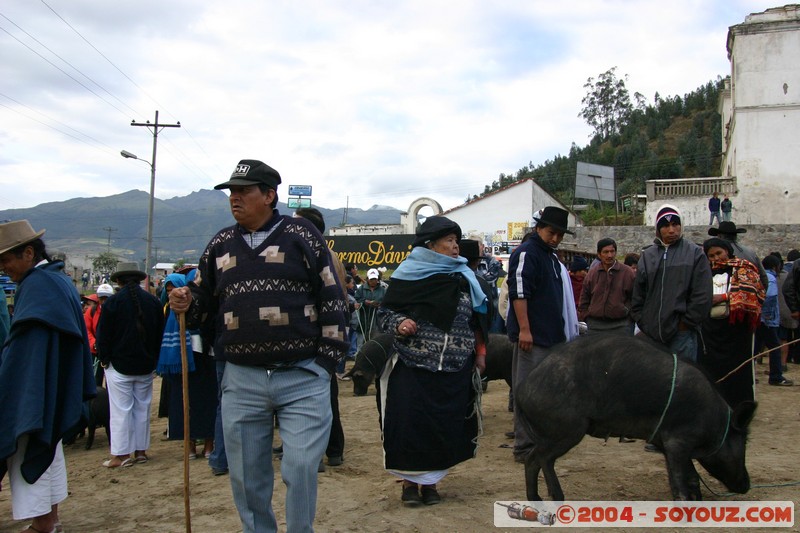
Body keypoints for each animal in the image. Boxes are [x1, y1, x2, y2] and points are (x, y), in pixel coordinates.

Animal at [520, 334, 756, 500]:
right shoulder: (678, 442)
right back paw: (558, 498)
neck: (714, 420)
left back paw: (537, 499)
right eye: (743, 442)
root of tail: (524, 388)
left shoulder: (663, 442)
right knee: (543, 458)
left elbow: (686, 477)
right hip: (567, 430)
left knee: (532, 458)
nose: (747, 486)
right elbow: (682, 479)